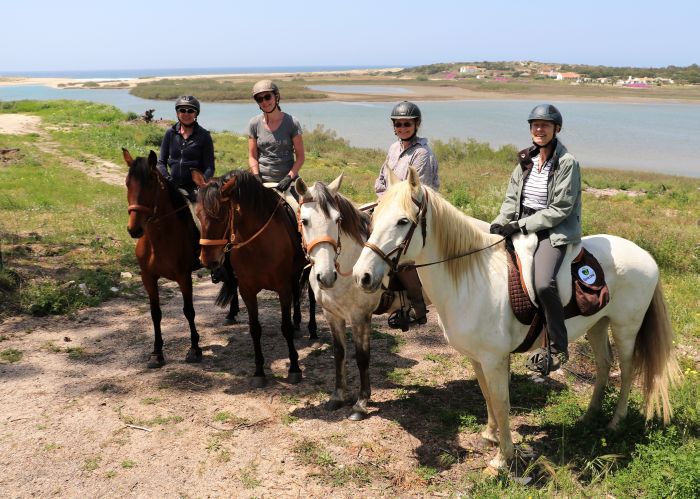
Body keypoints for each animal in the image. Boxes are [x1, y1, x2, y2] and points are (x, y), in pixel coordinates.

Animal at [190, 170, 314, 388]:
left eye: (220, 216)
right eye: (197, 214)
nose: (207, 260)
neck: (258, 245)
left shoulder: (282, 288)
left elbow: (285, 327)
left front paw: (294, 368)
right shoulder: (247, 290)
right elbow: (255, 329)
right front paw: (259, 372)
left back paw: (312, 329)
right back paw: (298, 323)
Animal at [352, 168, 680, 468]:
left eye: (403, 221)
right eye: (374, 218)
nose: (362, 276)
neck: (472, 276)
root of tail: (646, 256)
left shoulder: (494, 357)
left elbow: (501, 401)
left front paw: (502, 459)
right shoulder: (477, 357)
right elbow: (488, 396)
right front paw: (491, 435)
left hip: (626, 328)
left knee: (627, 370)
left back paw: (615, 422)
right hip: (597, 325)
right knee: (603, 366)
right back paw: (589, 417)